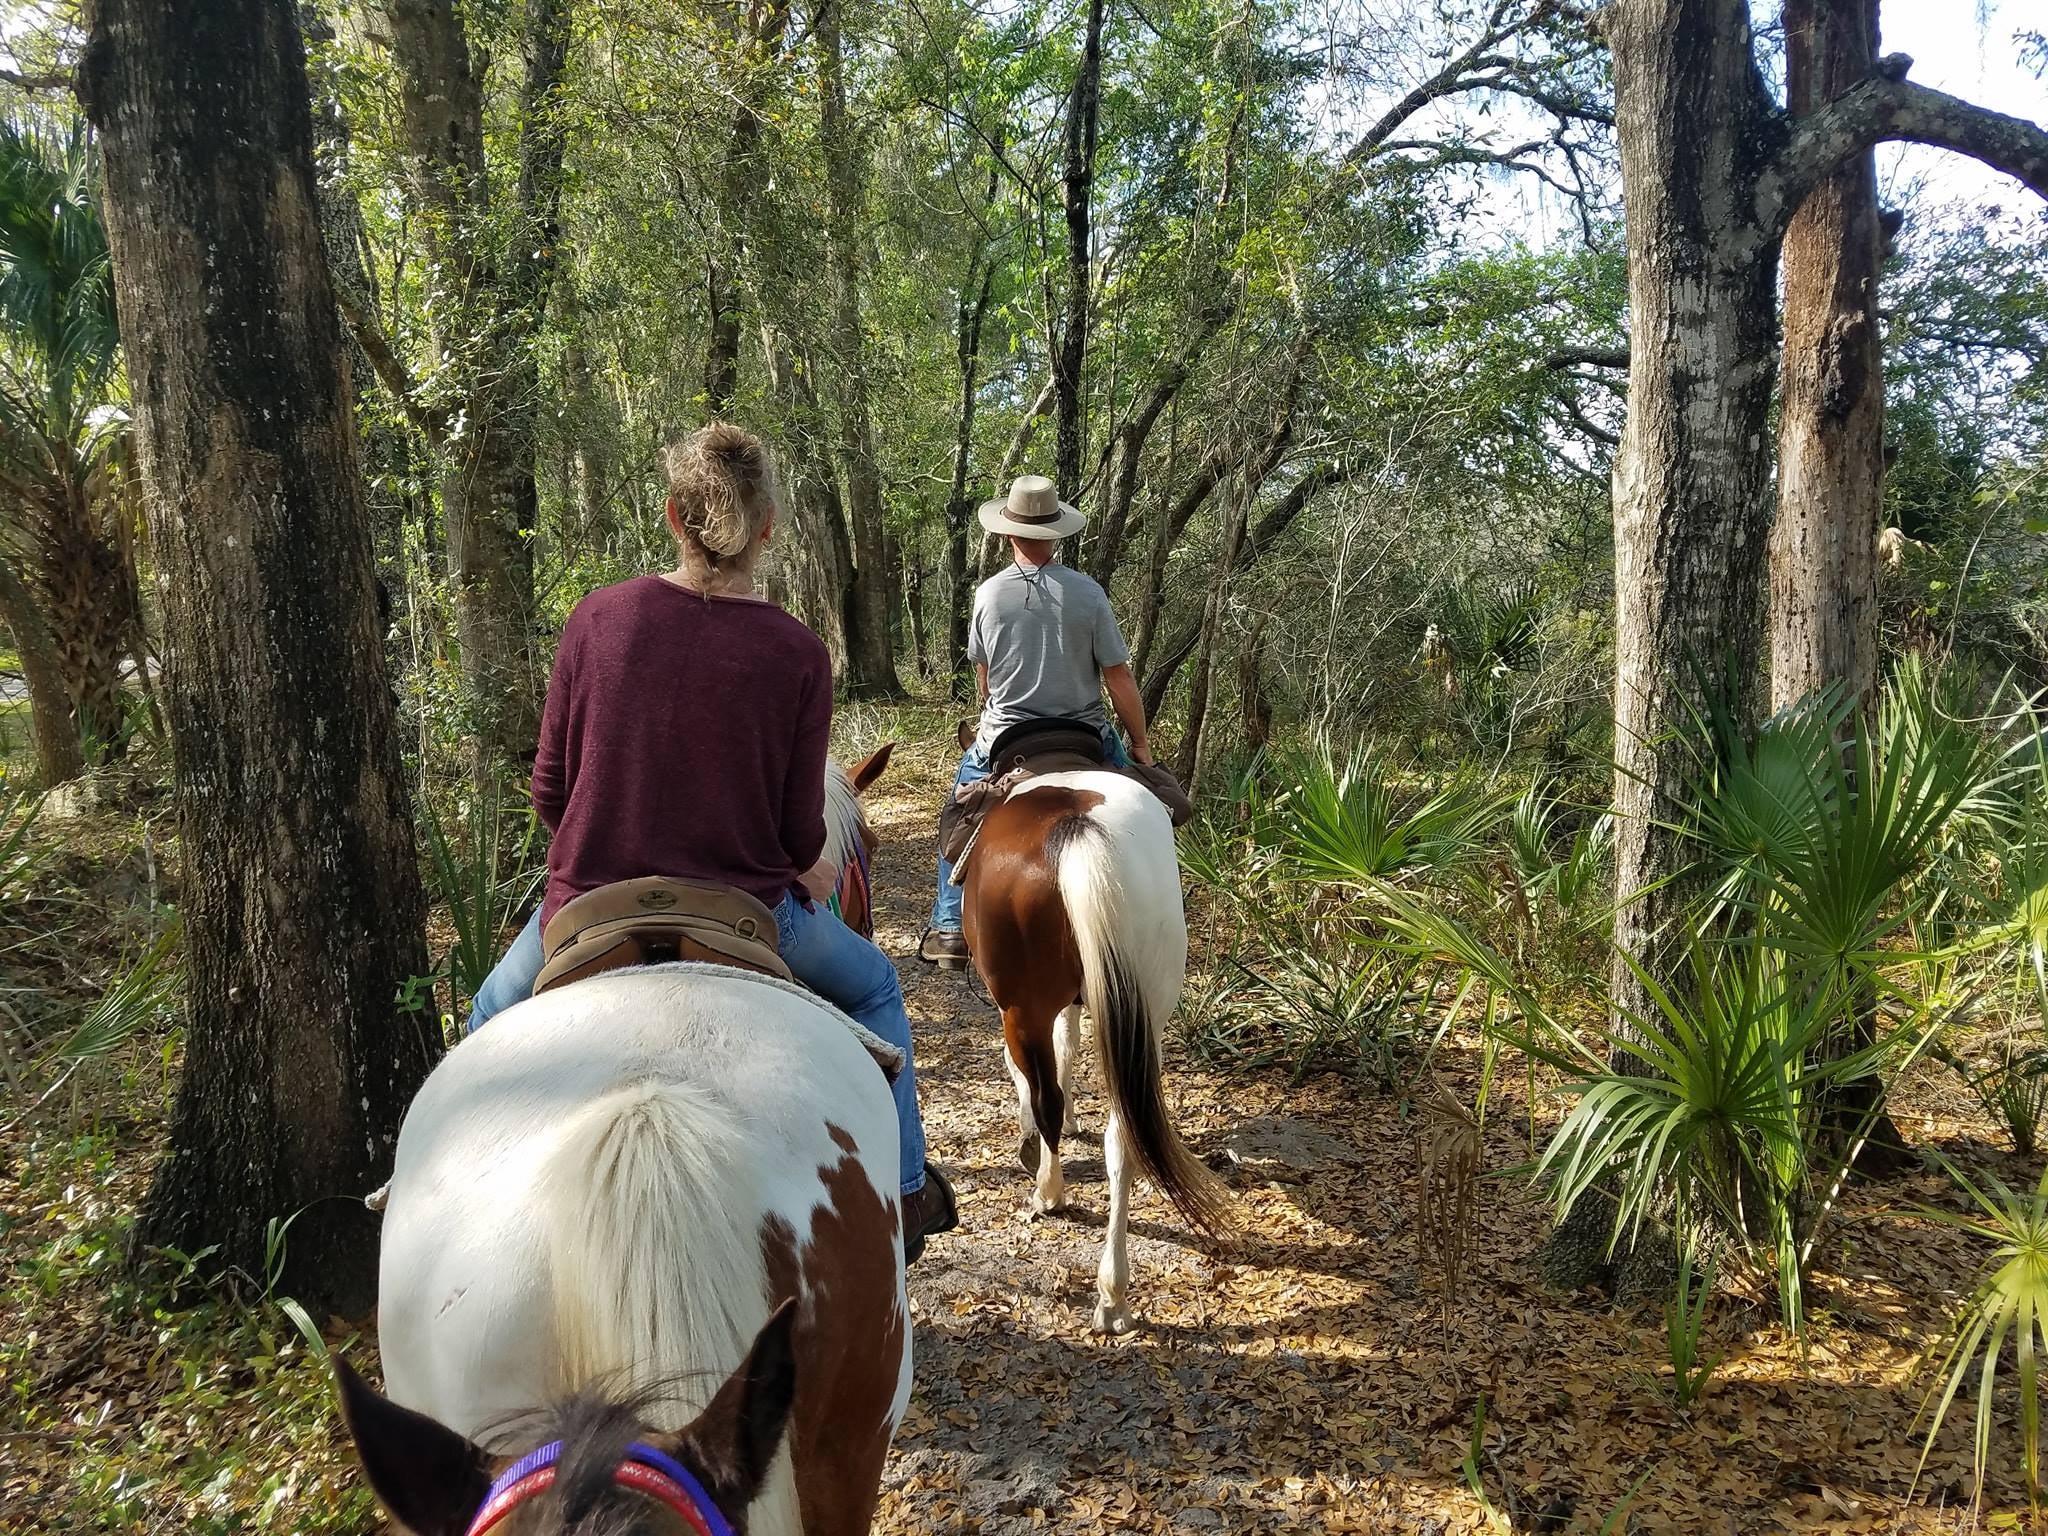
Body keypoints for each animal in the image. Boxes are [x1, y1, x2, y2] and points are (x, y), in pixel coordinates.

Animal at [962, 770, 1228, 1335]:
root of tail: (1076, 828)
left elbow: (1035, 1078)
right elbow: (1070, 1046)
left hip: (1022, 1007)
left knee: (1045, 1098)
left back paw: (1049, 1191)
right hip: (1149, 1006)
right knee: (1123, 1135)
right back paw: (1114, 1294)